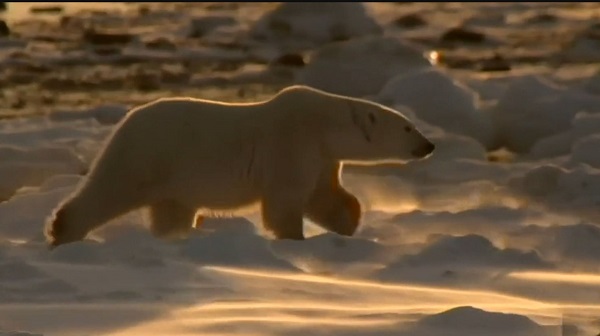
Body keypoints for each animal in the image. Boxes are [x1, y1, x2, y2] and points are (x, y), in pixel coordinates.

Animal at [44, 85, 434, 248]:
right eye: (408, 127)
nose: (429, 145)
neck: (323, 123)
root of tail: (126, 121)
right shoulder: (292, 142)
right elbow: (286, 200)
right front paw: (295, 238)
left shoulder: (322, 157)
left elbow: (324, 195)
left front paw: (348, 224)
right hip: (149, 156)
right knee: (109, 190)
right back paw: (63, 229)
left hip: (175, 181)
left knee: (172, 212)